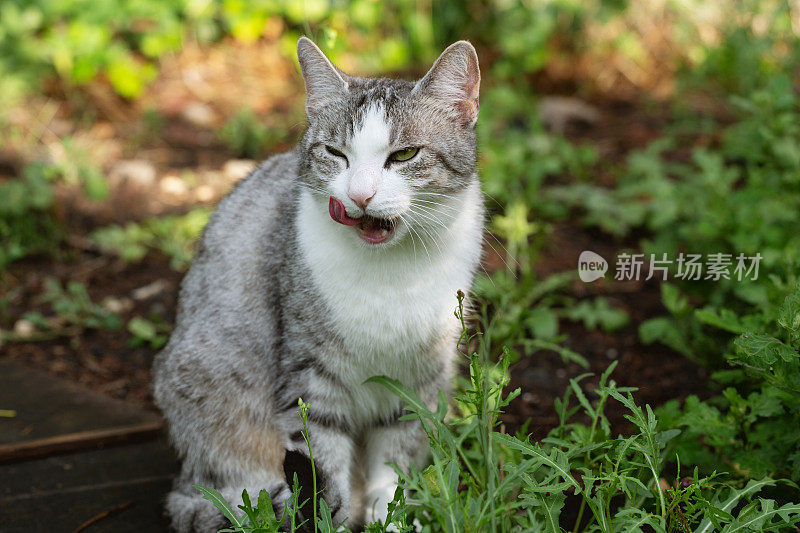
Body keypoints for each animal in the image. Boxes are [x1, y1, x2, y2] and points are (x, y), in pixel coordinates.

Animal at [153, 35, 484, 528]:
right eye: (335, 154)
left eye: (405, 155)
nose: (361, 195)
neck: (390, 273)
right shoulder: (311, 378)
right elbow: (321, 467)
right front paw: (333, 522)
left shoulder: (416, 380)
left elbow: (394, 468)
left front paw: (392, 522)